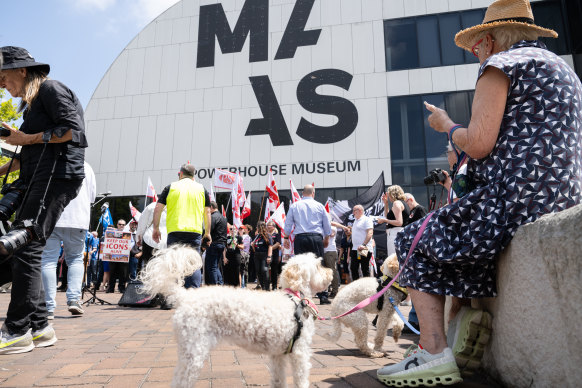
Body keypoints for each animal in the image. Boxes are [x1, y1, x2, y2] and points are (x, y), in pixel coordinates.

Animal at [141, 246, 334, 388]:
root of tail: (184, 296)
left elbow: (278, 380)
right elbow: (301, 380)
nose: (331, 272)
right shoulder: (300, 352)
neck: (296, 298)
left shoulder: (277, 355)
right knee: (181, 381)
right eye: (318, 266)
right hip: (194, 350)